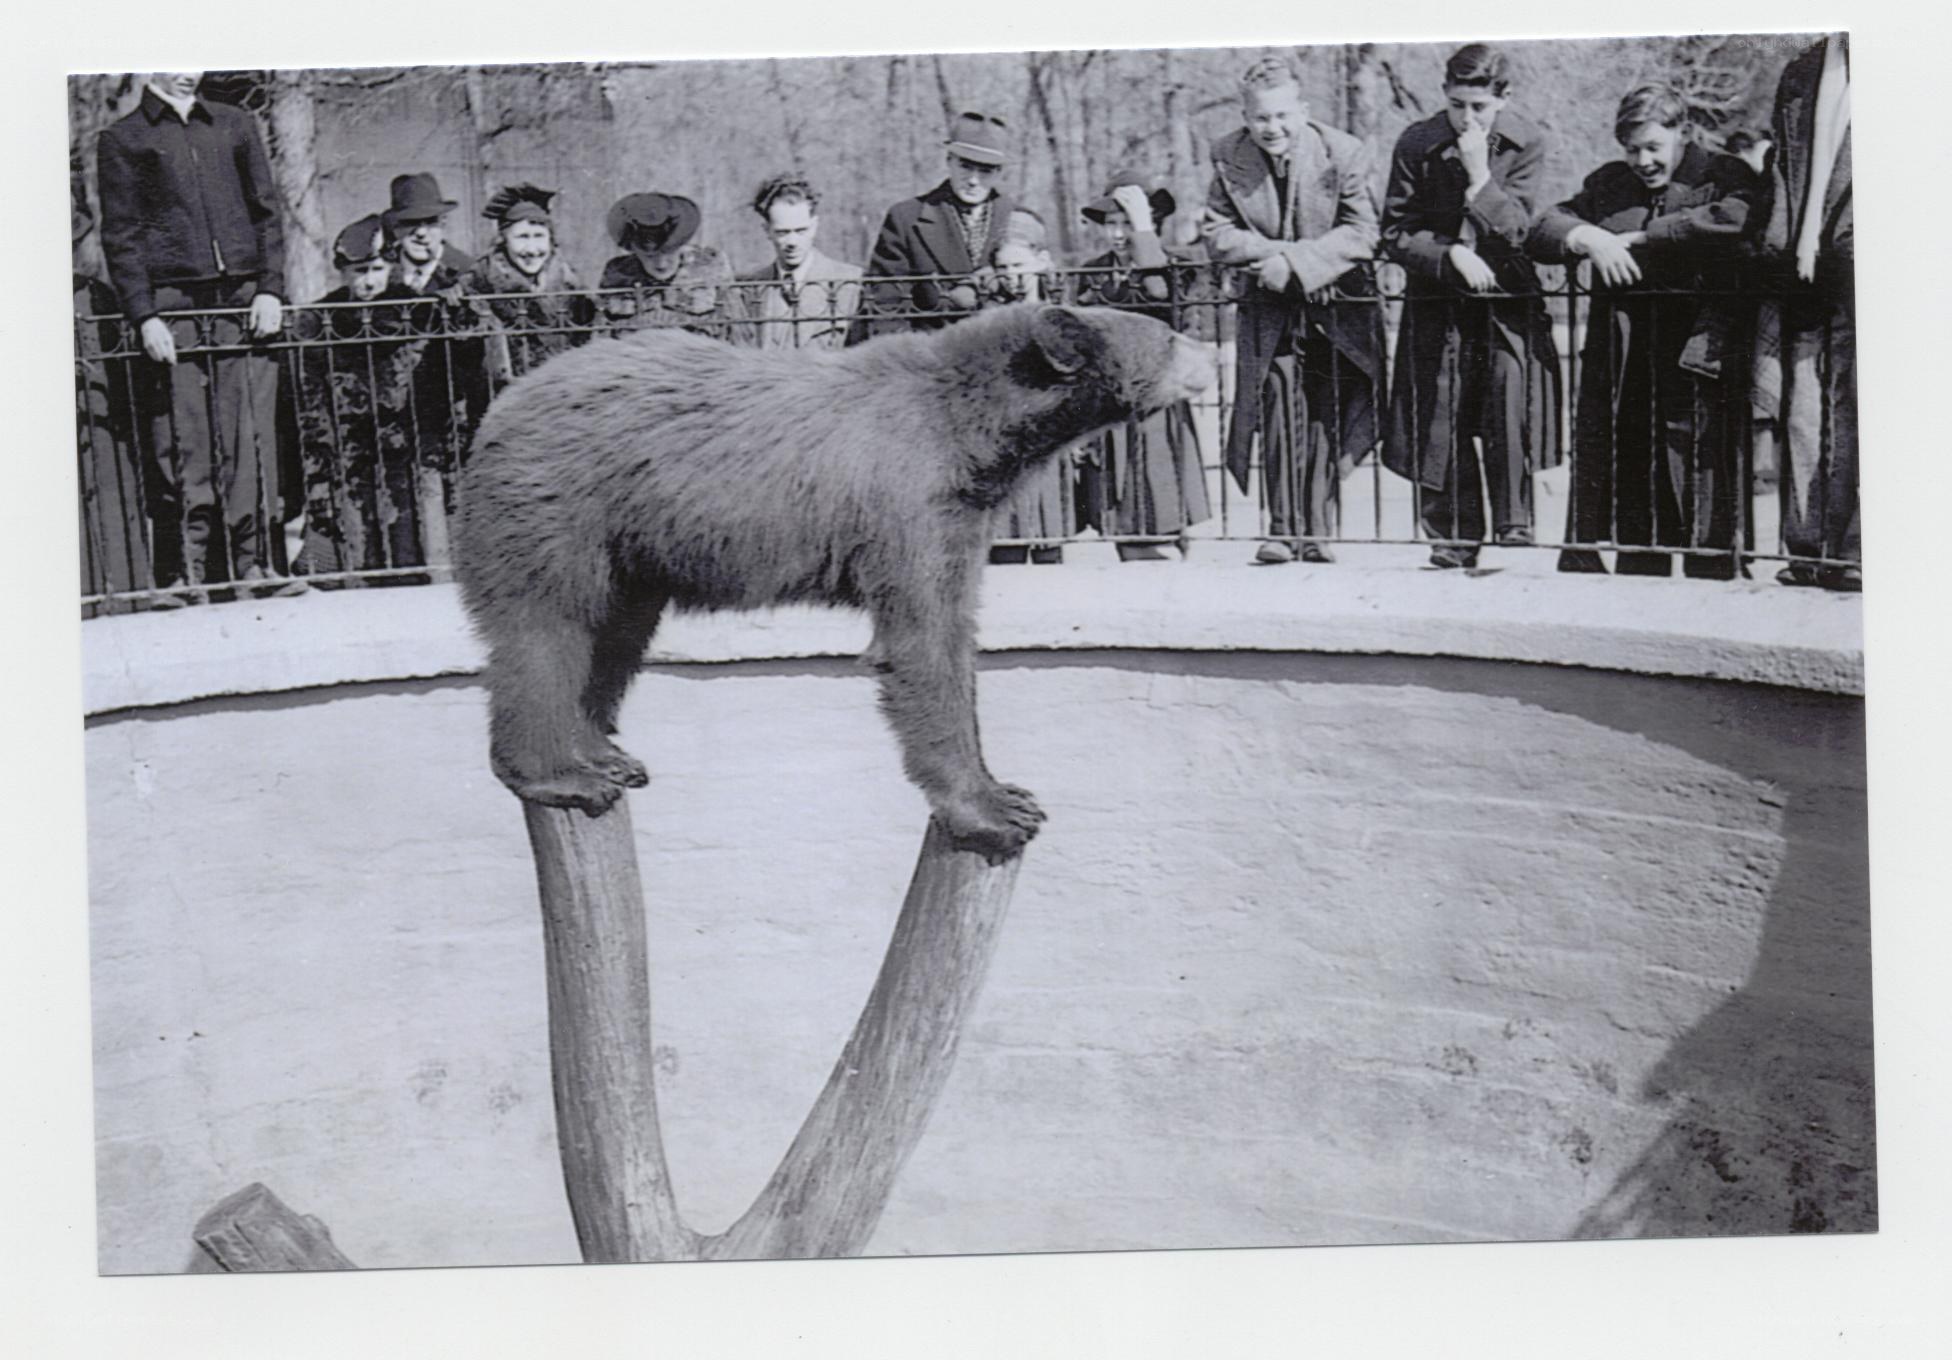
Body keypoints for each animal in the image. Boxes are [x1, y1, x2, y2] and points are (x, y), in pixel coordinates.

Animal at [453, 302, 1216, 862]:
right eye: (1167, 334)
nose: (1210, 352)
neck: (974, 429)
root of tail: (502, 406)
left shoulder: (963, 510)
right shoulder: (909, 502)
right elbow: (924, 642)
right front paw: (998, 809)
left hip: (631, 551)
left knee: (615, 634)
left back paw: (604, 754)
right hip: (557, 504)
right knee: (546, 628)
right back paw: (560, 774)